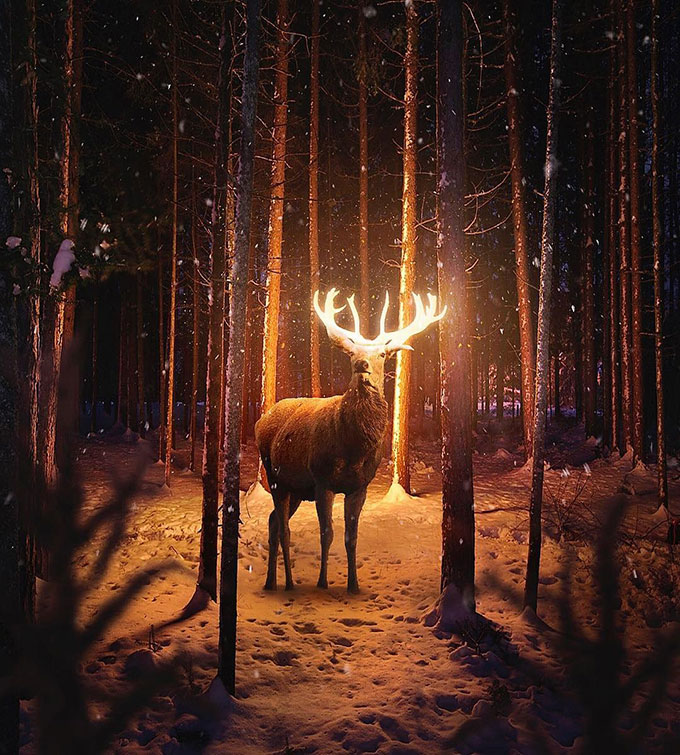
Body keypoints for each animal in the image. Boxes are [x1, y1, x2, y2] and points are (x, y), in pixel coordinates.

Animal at [255, 288, 446, 593]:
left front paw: (353, 585)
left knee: (274, 521)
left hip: (295, 488)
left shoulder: (359, 486)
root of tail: (259, 421)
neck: (353, 449)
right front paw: (322, 582)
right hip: (275, 477)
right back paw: (288, 583)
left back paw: (271, 582)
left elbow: (350, 536)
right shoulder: (322, 481)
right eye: (352, 353)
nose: (362, 365)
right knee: (283, 527)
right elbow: (327, 533)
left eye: (382, 353)